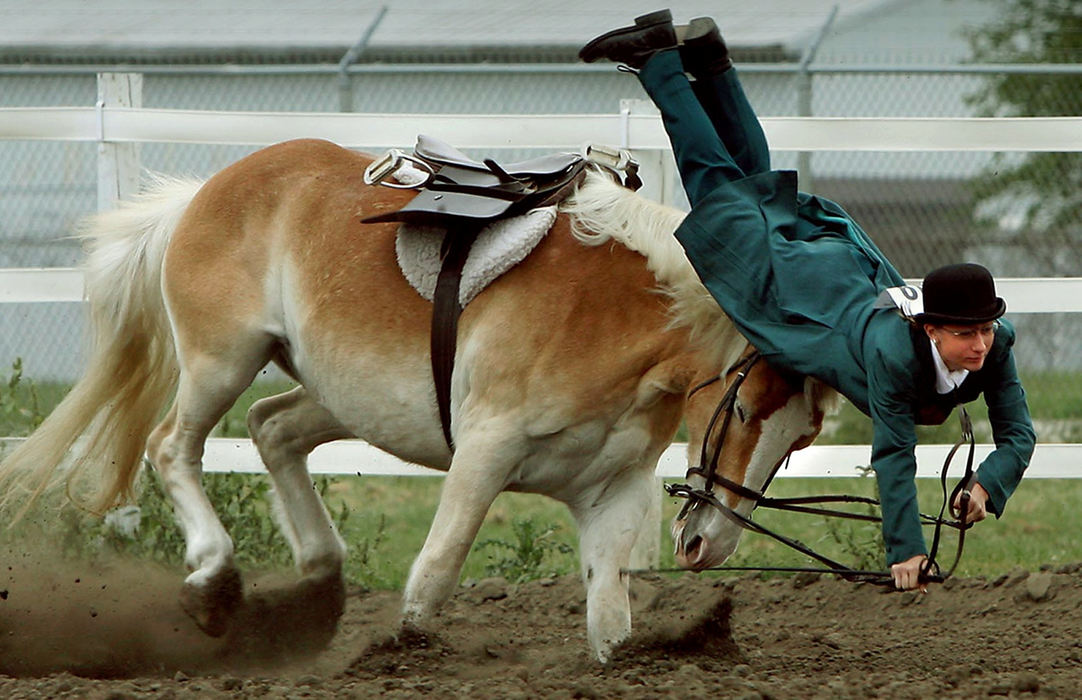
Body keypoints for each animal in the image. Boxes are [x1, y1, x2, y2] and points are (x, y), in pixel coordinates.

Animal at [0, 138, 835, 662]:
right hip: (221, 362)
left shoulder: (611, 491)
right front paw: (401, 655)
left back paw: (319, 581)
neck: (610, 317)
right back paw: (214, 582)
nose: (707, 544)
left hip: (336, 395)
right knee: (173, 446)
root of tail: (203, 193)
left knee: (272, 430)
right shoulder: (485, 452)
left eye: (800, 438)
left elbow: (610, 618)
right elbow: (434, 574)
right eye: (747, 407)